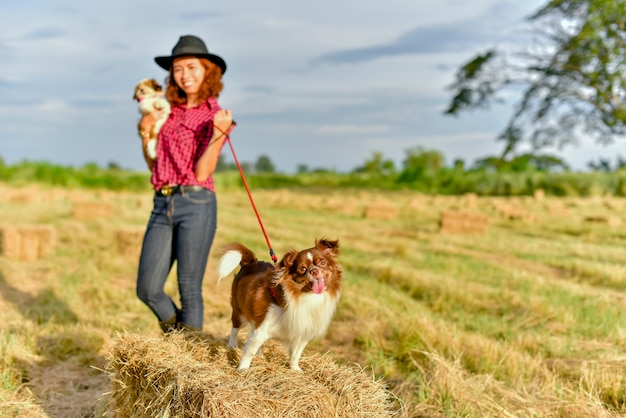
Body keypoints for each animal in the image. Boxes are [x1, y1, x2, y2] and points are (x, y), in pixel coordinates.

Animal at [216, 238, 342, 372]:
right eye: (302, 269)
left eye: (322, 262)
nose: (314, 270)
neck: (306, 295)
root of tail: (251, 262)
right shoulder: (262, 328)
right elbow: (249, 351)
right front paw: (243, 369)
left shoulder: (302, 332)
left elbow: (296, 354)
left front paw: (295, 369)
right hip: (239, 312)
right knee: (235, 328)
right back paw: (232, 346)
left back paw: (259, 355)